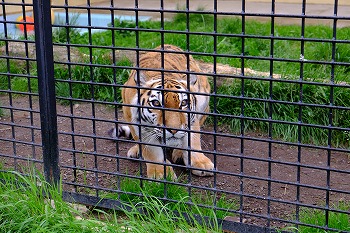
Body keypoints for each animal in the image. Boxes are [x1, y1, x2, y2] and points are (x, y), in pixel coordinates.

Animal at [113, 44, 215, 178]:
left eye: (183, 103)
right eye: (156, 103)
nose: (174, 130)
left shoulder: (192, 119)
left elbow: (193, 139)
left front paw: (201, 163)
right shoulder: (136, 122)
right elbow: (152, 150)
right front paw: (160, 173)